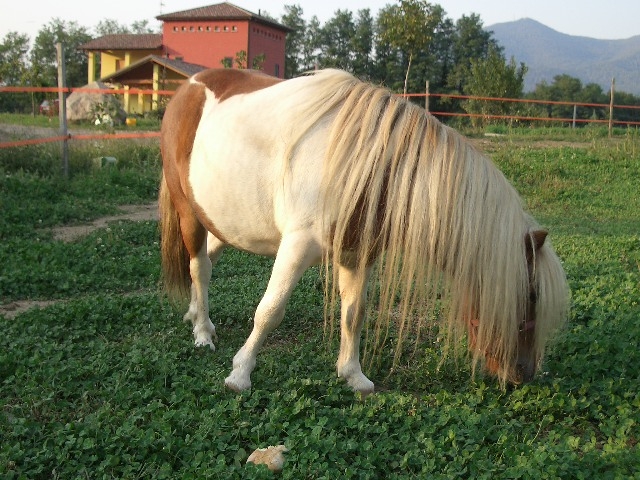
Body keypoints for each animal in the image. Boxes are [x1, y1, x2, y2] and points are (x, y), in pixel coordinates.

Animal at [160, 68, 568, 398]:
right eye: (531, 294)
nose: (523, 374)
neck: (371, 164)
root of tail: (187, 88)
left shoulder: (359, 254)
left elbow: (354, 313)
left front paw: (353, 375)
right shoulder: (298, 246)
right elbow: (270, 310)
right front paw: (240, 374)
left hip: (219, 220)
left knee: (207, 260)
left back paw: (196, 317)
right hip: (188, 212)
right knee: (199, 268)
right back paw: (202, 333)